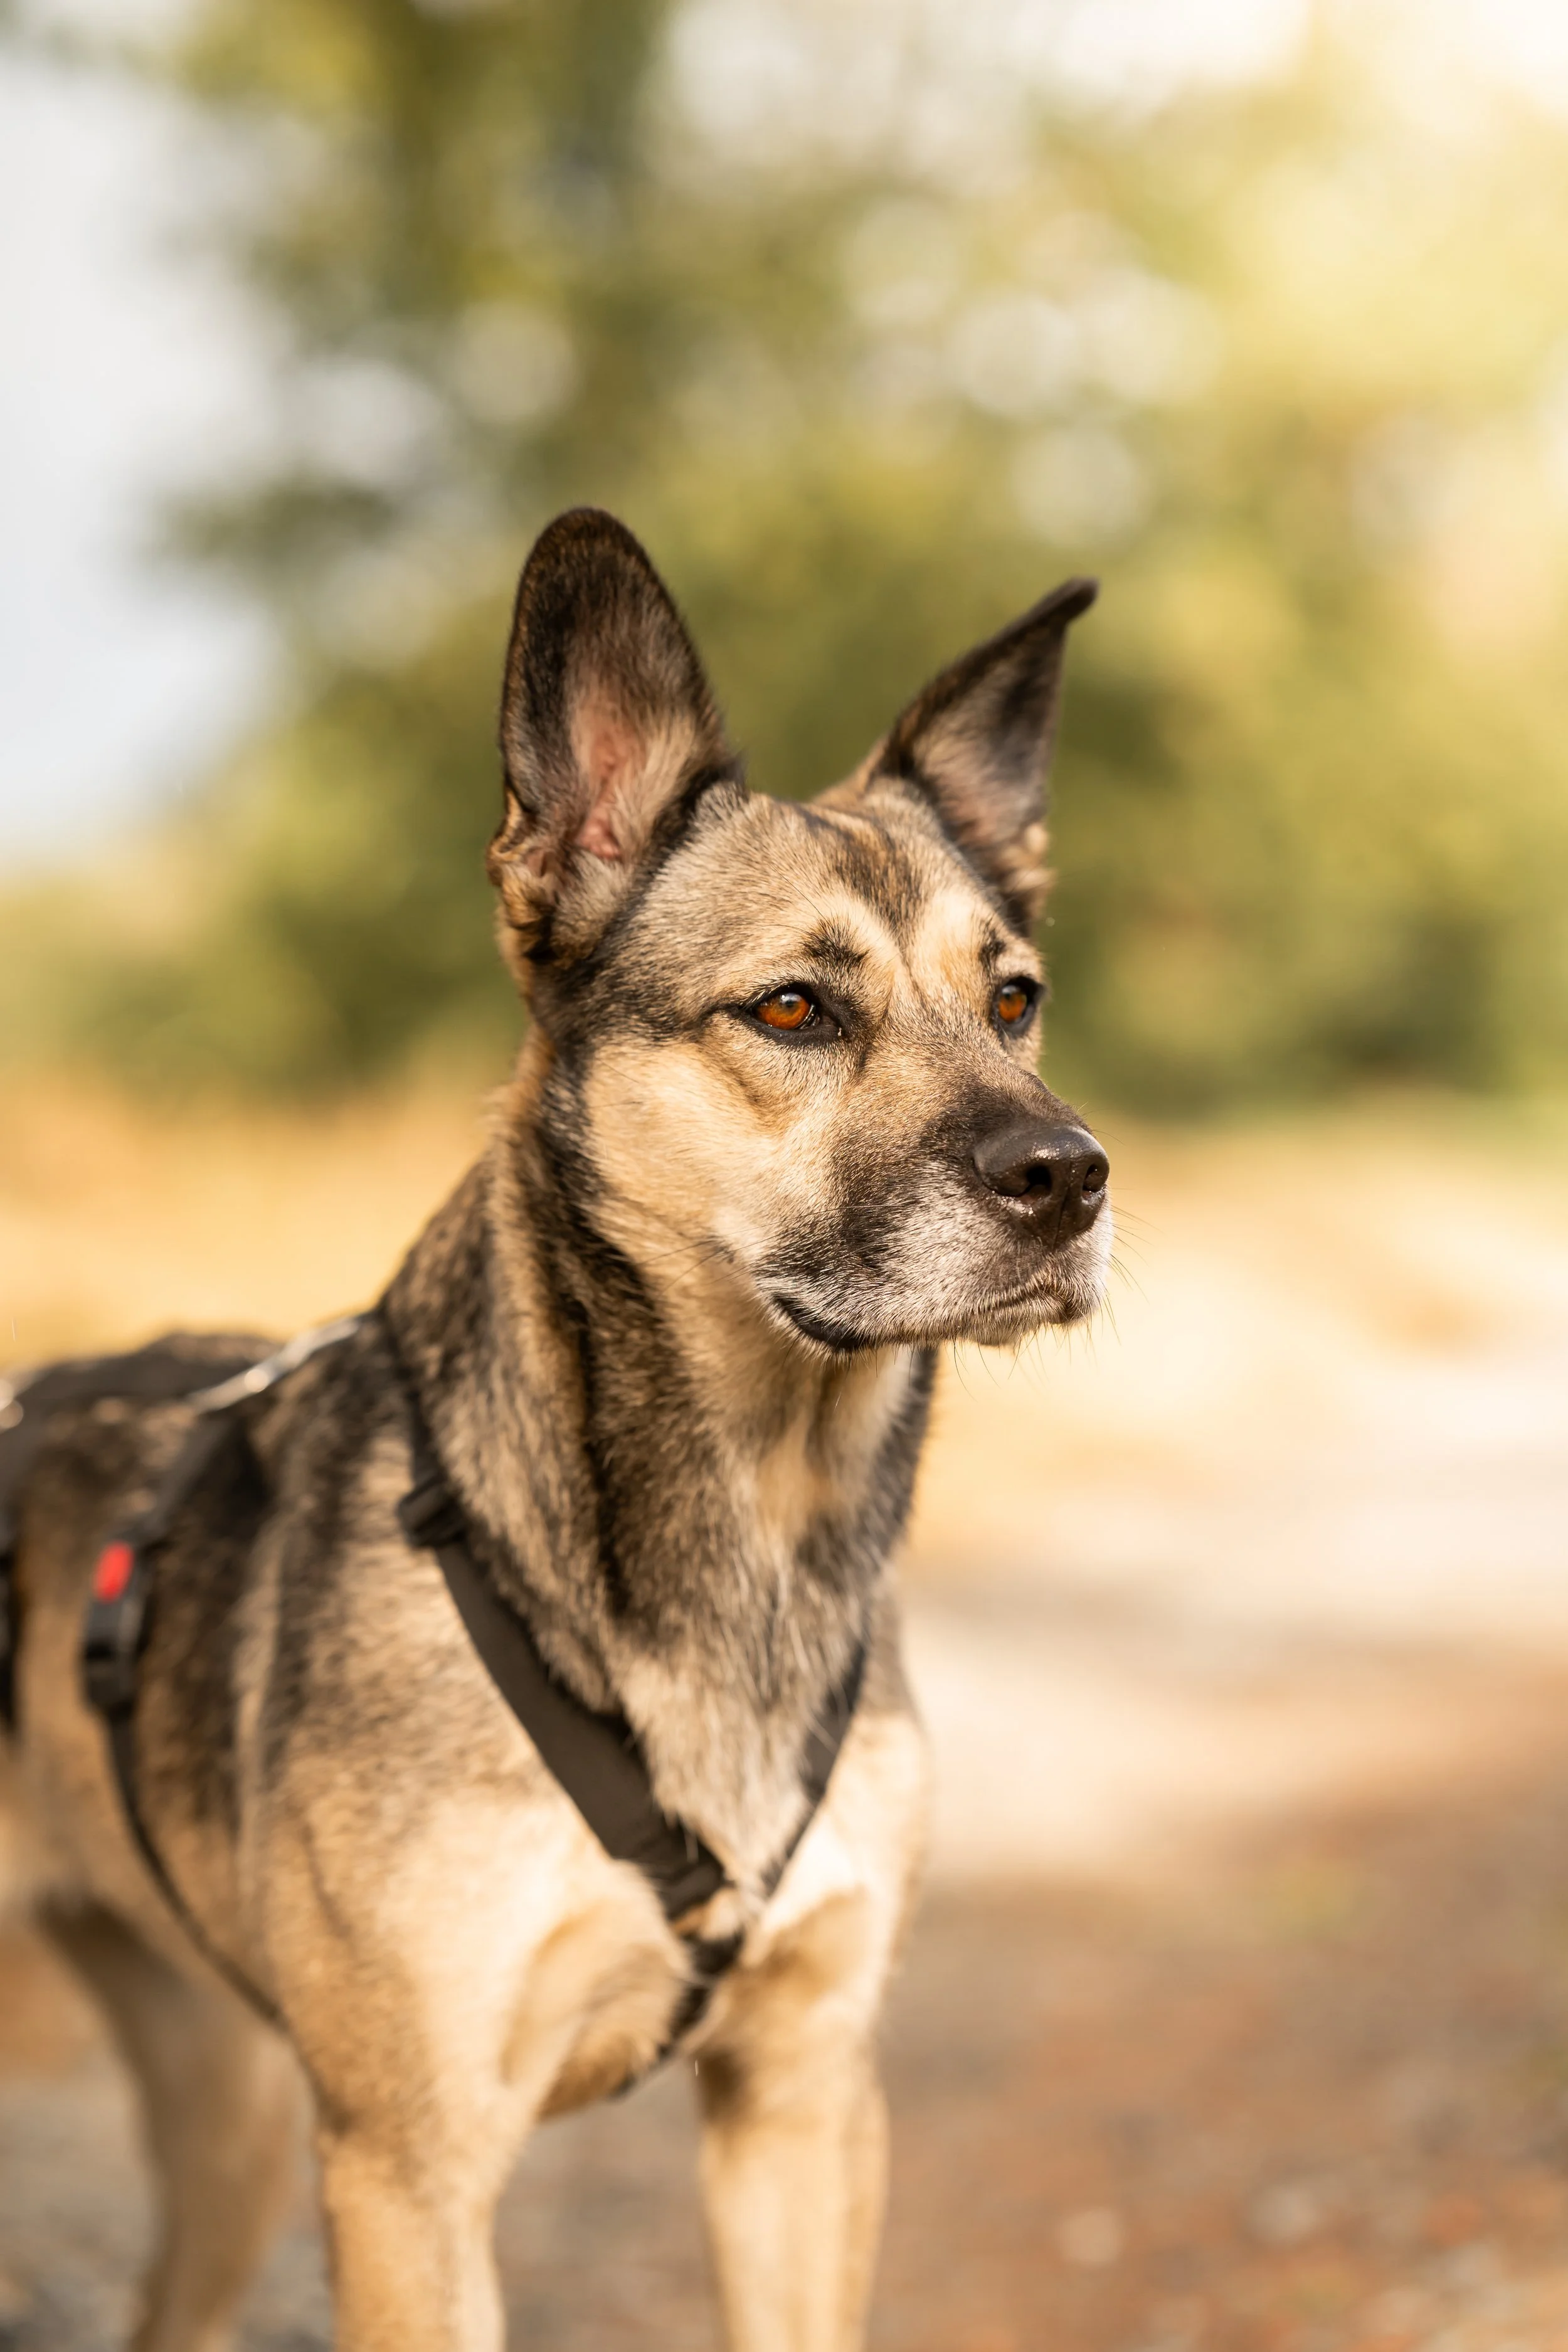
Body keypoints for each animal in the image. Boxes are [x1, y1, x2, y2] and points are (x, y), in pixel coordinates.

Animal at [0, 508, 1110, 2351]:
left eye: (1012, 998)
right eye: (792, 1010)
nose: (1072, 1178)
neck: (754, 1521)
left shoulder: (802, 2104)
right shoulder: (411, 2172)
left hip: (231, 2127)